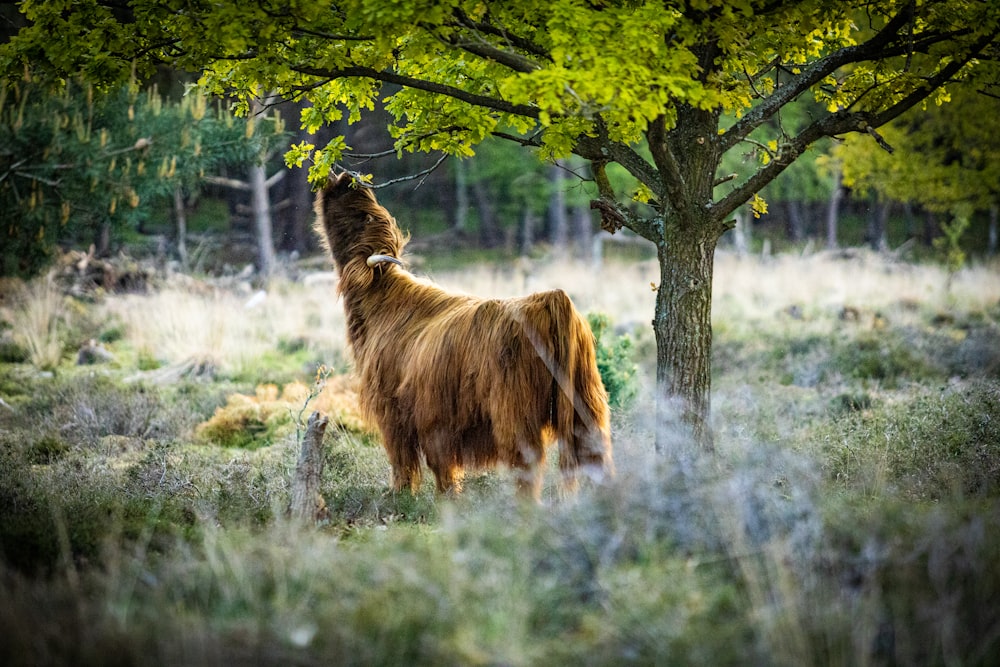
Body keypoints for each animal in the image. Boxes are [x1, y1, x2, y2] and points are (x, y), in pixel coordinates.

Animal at [316, 175, 612, 498]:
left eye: (362, 215)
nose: (346, 177)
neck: (380, 302)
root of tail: (550, 299)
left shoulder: (397, 411)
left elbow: (407, 462)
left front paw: (406, 496)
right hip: (587, 405)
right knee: (596, 456)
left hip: (514, 417)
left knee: (528, 467)